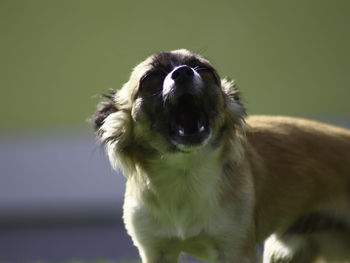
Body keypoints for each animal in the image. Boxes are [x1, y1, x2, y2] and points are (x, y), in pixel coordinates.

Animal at [91, 50, 350, 263]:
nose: (183, 72)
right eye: (150, 78)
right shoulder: (156, 251)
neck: (185, 174)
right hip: (289, 250)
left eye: (205, 71)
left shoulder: (234, 248)